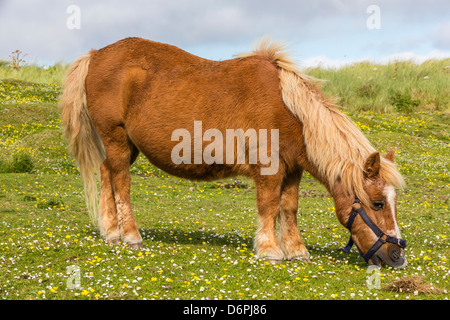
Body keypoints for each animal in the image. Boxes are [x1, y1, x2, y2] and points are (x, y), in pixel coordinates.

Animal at [59, 37, 408, 268]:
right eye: (377, 203)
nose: (398, 256)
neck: (288, 108)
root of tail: (96, 54)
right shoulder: (269, 169)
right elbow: (269, 206)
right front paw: (270, 251)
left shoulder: (292, 170)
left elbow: (289, 208)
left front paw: (296, 250)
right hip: (117, 139)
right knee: (121, 183)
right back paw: (129, 234)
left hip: (125, 145)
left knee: (107, 174)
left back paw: (111, 232)